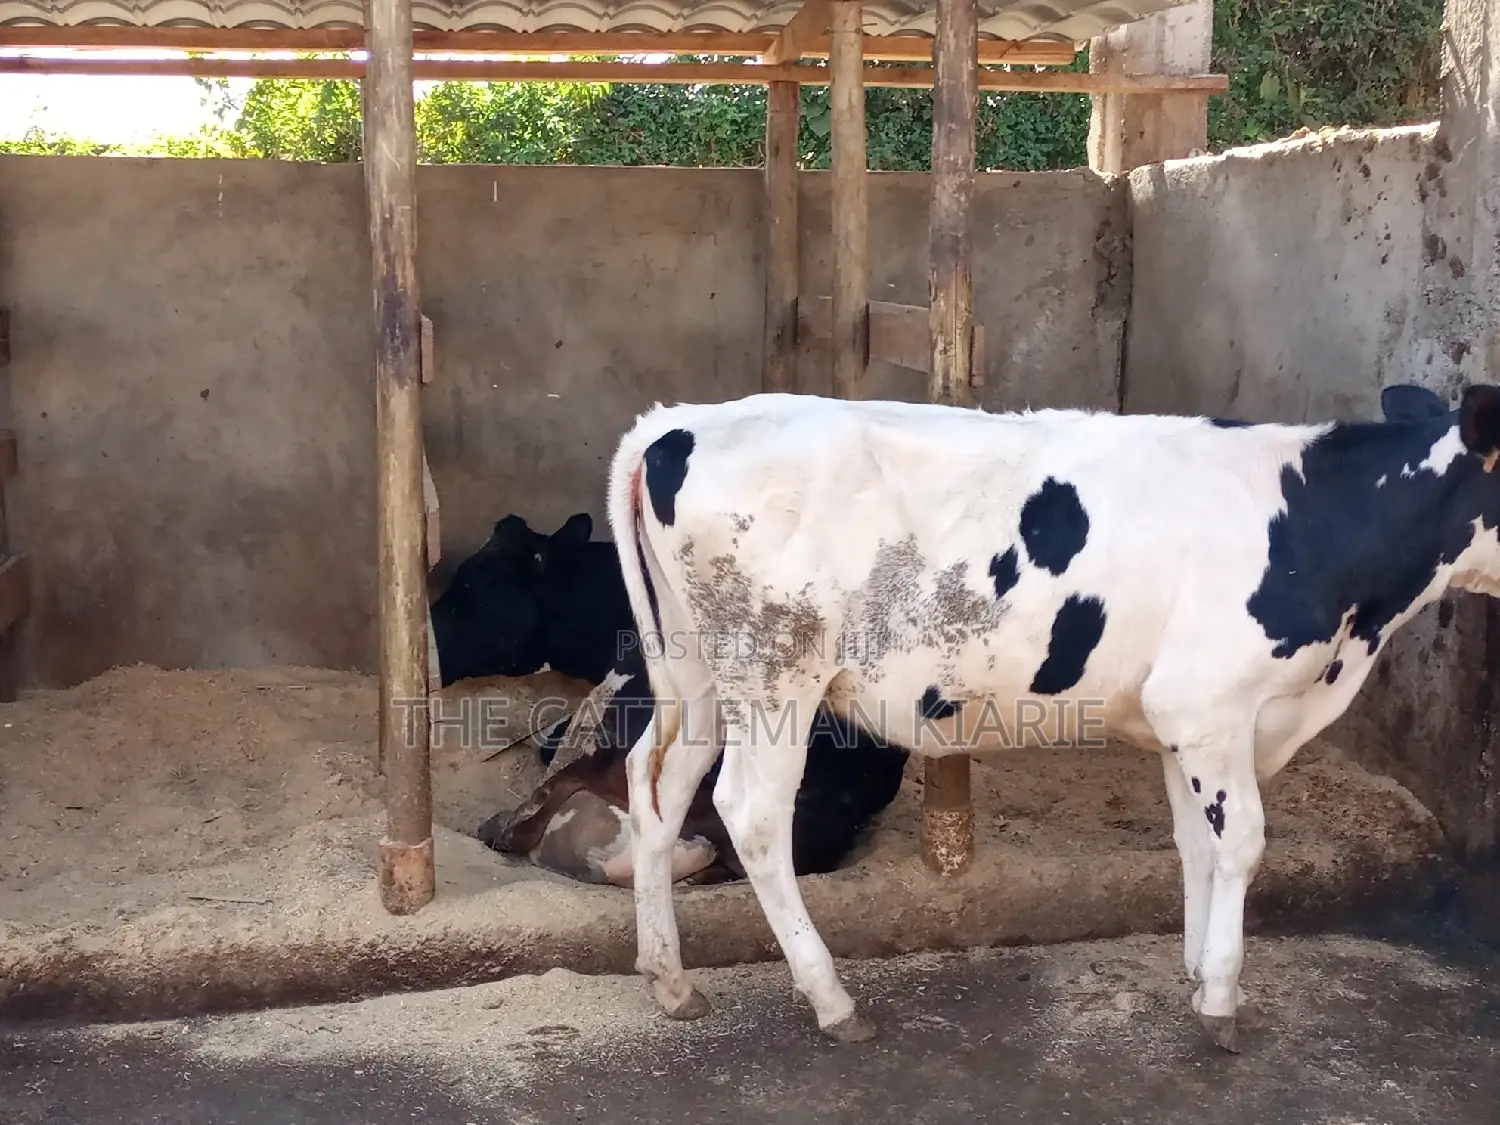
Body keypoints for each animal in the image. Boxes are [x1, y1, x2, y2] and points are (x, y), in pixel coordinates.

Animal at [605, 383, 1500, 1052]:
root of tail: (677, 421)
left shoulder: (1185, 722)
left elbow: (1195, 843)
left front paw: (1196, 970)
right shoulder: (1209, 703)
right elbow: (1241, 841)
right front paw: (1222, 997)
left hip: (697, 669)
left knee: (657, 784)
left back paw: (669, 977)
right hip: (774, 670)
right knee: (750, 814)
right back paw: (830, 998)